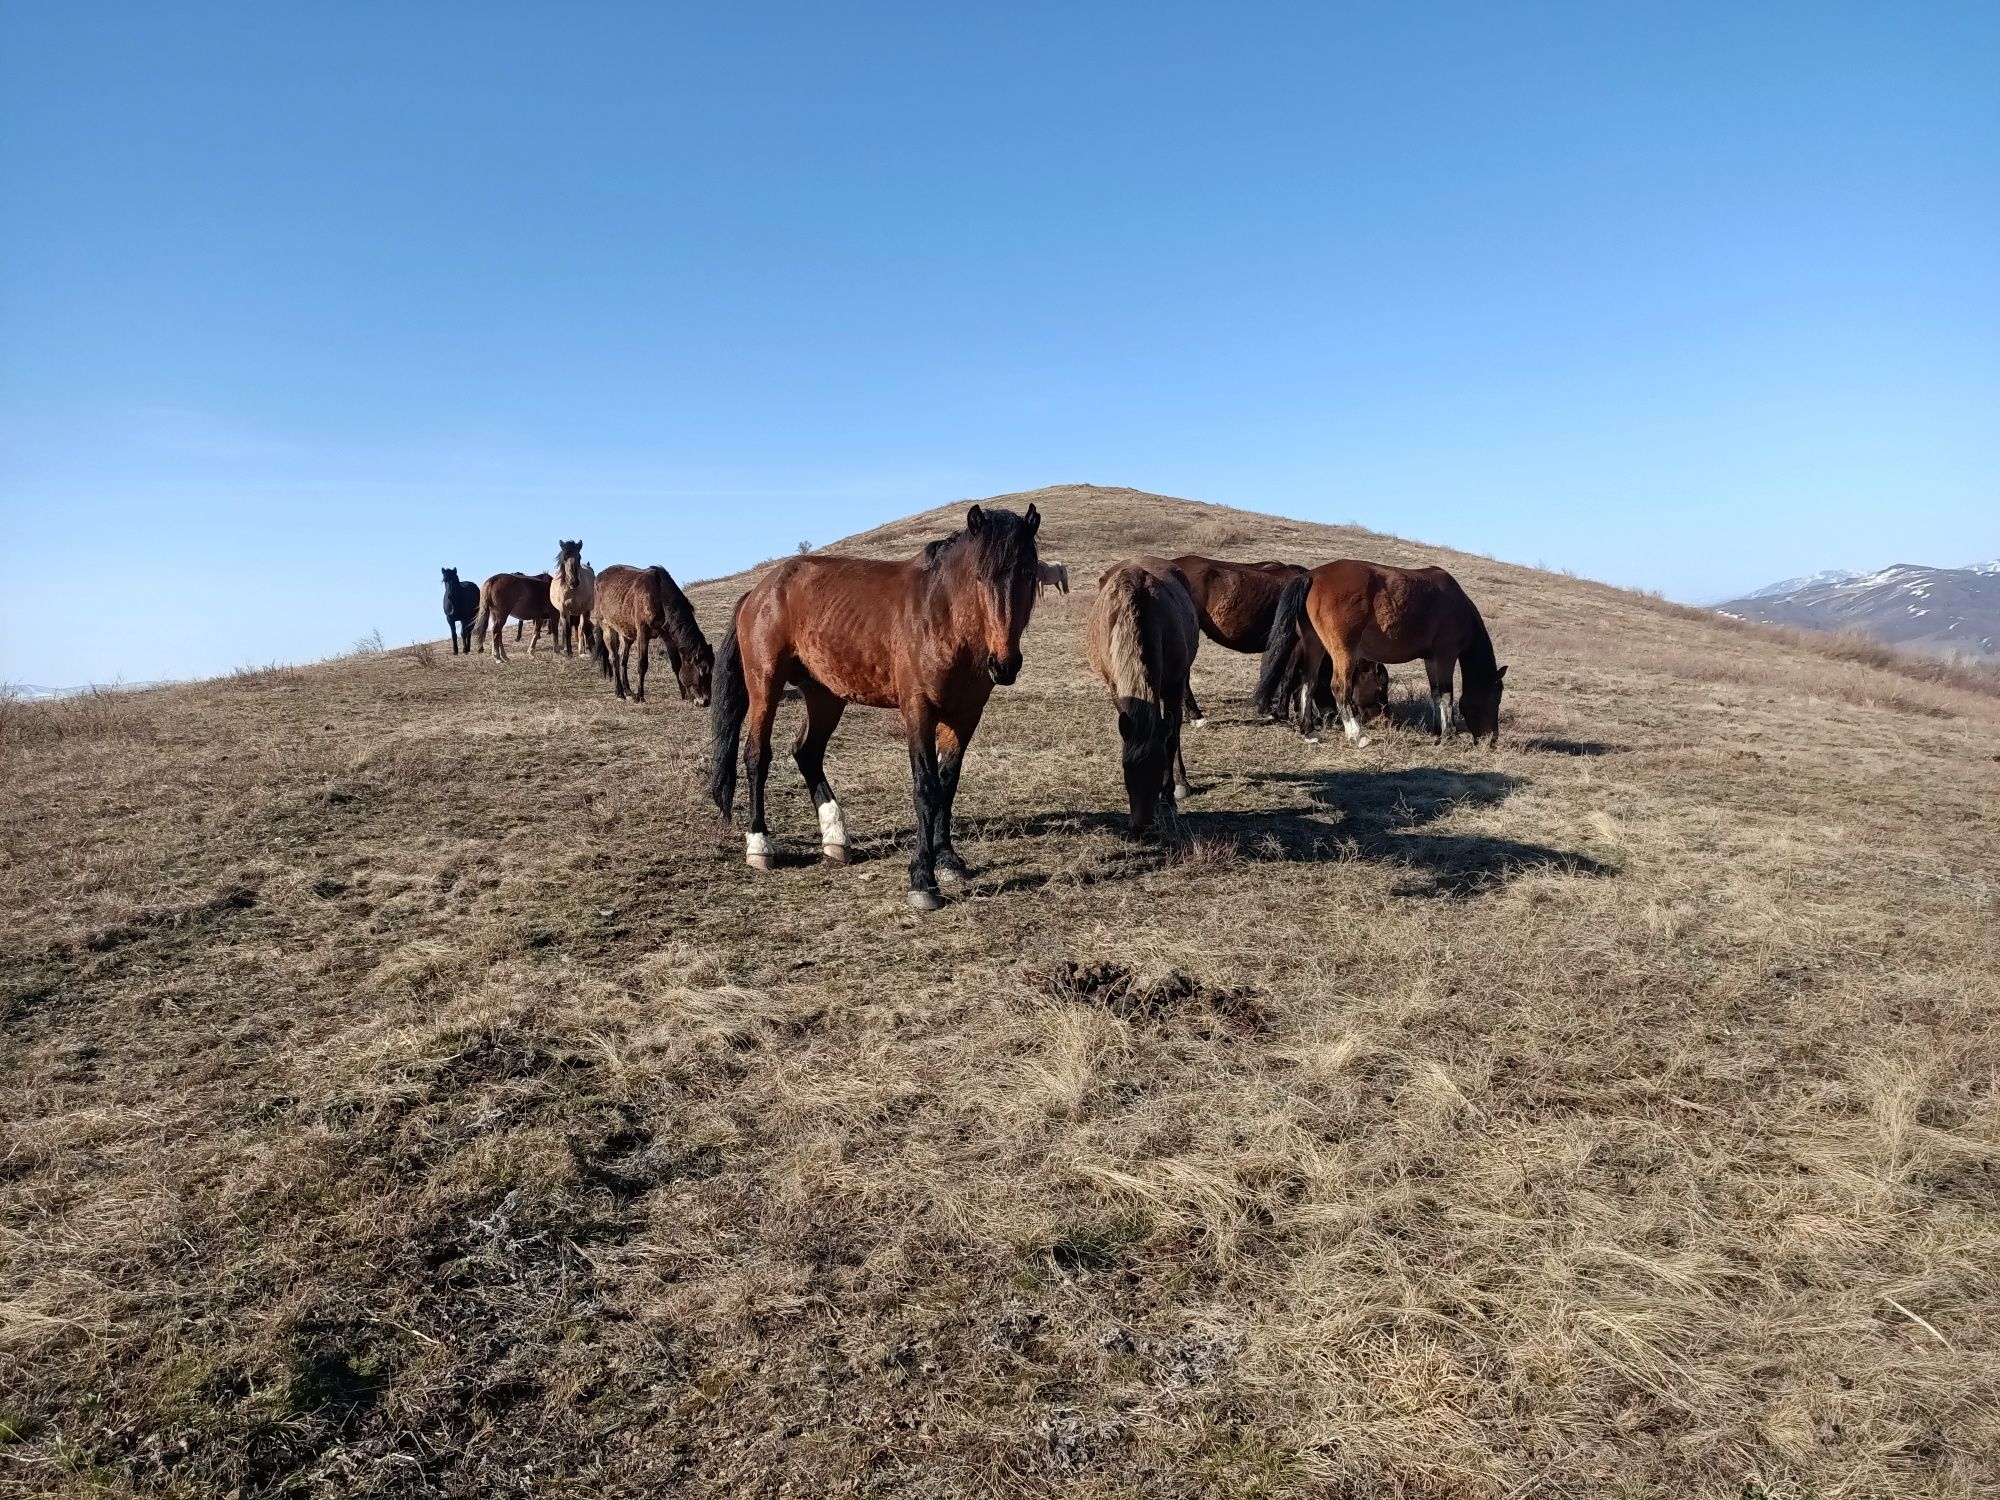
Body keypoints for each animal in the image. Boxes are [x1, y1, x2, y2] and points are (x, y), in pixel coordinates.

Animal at [588, 568, 716, 708]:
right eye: (701, 671)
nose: (705, 701)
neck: (659, 595)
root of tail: (598, 577)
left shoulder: (668, 636)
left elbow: (676, 664)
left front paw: (685, 695)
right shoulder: (643, 633)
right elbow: (642, 664)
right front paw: (640, 696)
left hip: (626, 633)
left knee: (623, 658)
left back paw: (628, 691)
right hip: (607, 627)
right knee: (614, 658)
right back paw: (620, 693)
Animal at [708, 502, 1048, 916]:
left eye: (1028, 574)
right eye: (980, 576)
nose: (1004, 665)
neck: (943, 616)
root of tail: (759, 592)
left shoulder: (965, 717)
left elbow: (947, 787)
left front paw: (948, 860)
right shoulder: (918, 711)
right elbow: (926, 788)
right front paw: (923, 880)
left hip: (825, 695)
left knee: (807, 752)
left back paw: (836, 838)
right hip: (765, 686)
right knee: (757, 755)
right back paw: (760, 844)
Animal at [1088, 560, 1192, 836]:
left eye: (1160, 765)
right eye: (1126, 767)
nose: (1143, 826)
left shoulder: (1175, 686)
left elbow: (1172, 738)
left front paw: (1170, 796)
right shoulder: (1116, 688)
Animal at [1248, 560, 1504, 748]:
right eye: (1496, 698)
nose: (1492, 739)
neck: (1458, 607)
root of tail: (1313, 576)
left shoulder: (1430, 658)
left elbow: (1435, 694)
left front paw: (1437, 731)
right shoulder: (1445, 655)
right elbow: (1447, 694)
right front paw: (1449, 733)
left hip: (1314, 645)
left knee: (1308, 683)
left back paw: (1309, 730)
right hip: (1344, 651)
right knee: (1339, 687)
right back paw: (1356, 733)